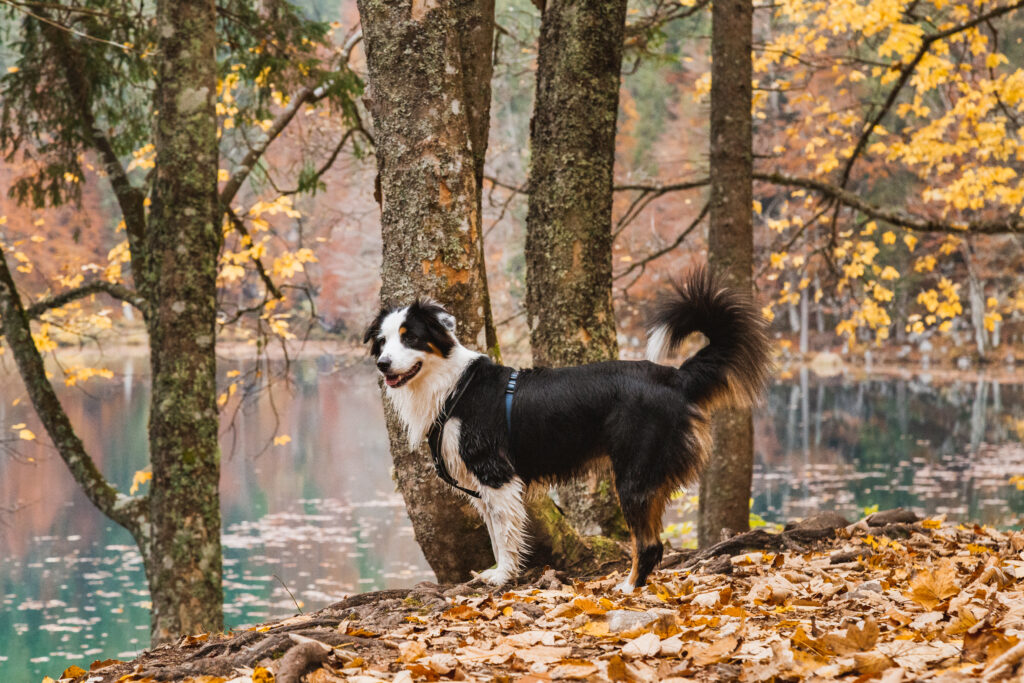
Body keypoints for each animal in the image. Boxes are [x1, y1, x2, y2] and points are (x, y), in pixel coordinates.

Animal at [364, 268, 770, 593]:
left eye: (411, 337)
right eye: (382, 341)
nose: (383, 364)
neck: (452, 387)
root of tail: (675, 377)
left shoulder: (495, 475)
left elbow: (505, 536)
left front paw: (503, 576)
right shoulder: (481, 486)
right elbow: (494, 533)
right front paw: (496, 572)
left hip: (633, 476)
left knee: (648, 544)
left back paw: (628, 587)